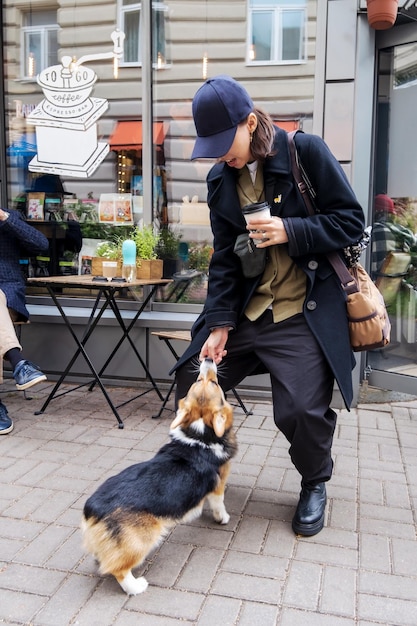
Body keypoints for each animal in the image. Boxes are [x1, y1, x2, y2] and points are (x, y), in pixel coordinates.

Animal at [81, 358, 237, 592]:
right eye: (211, 382)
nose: (208, 359)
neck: (199, 434)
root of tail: (92, 510)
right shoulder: (218, 486)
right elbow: (219, 504)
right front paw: (223, 518)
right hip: (142, 541)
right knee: (119, 570)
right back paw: (136, 587)